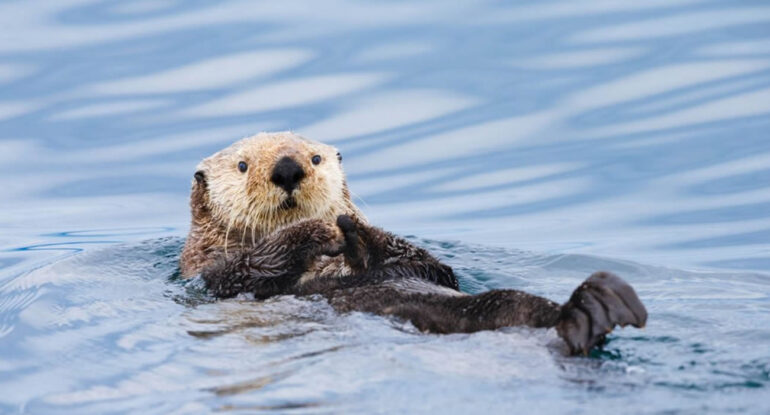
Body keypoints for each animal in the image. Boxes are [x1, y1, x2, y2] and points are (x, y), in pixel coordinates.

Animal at [183, 132, 644, 356]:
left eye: (315, 158)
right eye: (243, 166)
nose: (287, 168)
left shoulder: (427, 267)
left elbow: (429, 266)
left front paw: (353, 229)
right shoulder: (211, 275)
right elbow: (250, 268)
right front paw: (319, 231)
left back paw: (601, 305)